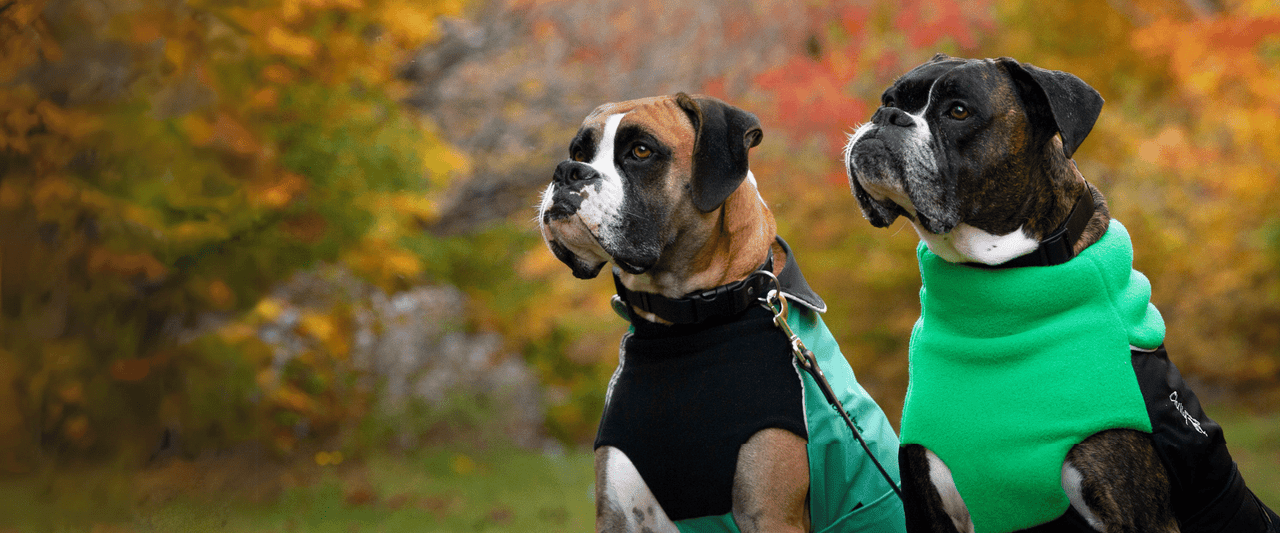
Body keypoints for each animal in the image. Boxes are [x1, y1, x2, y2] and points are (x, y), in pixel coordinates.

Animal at [540, 94, 911, 533]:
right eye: (579, 152)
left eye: (641, 151)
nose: (567, 171)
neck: (683, 325)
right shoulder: (619, 516)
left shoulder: (769, 515)